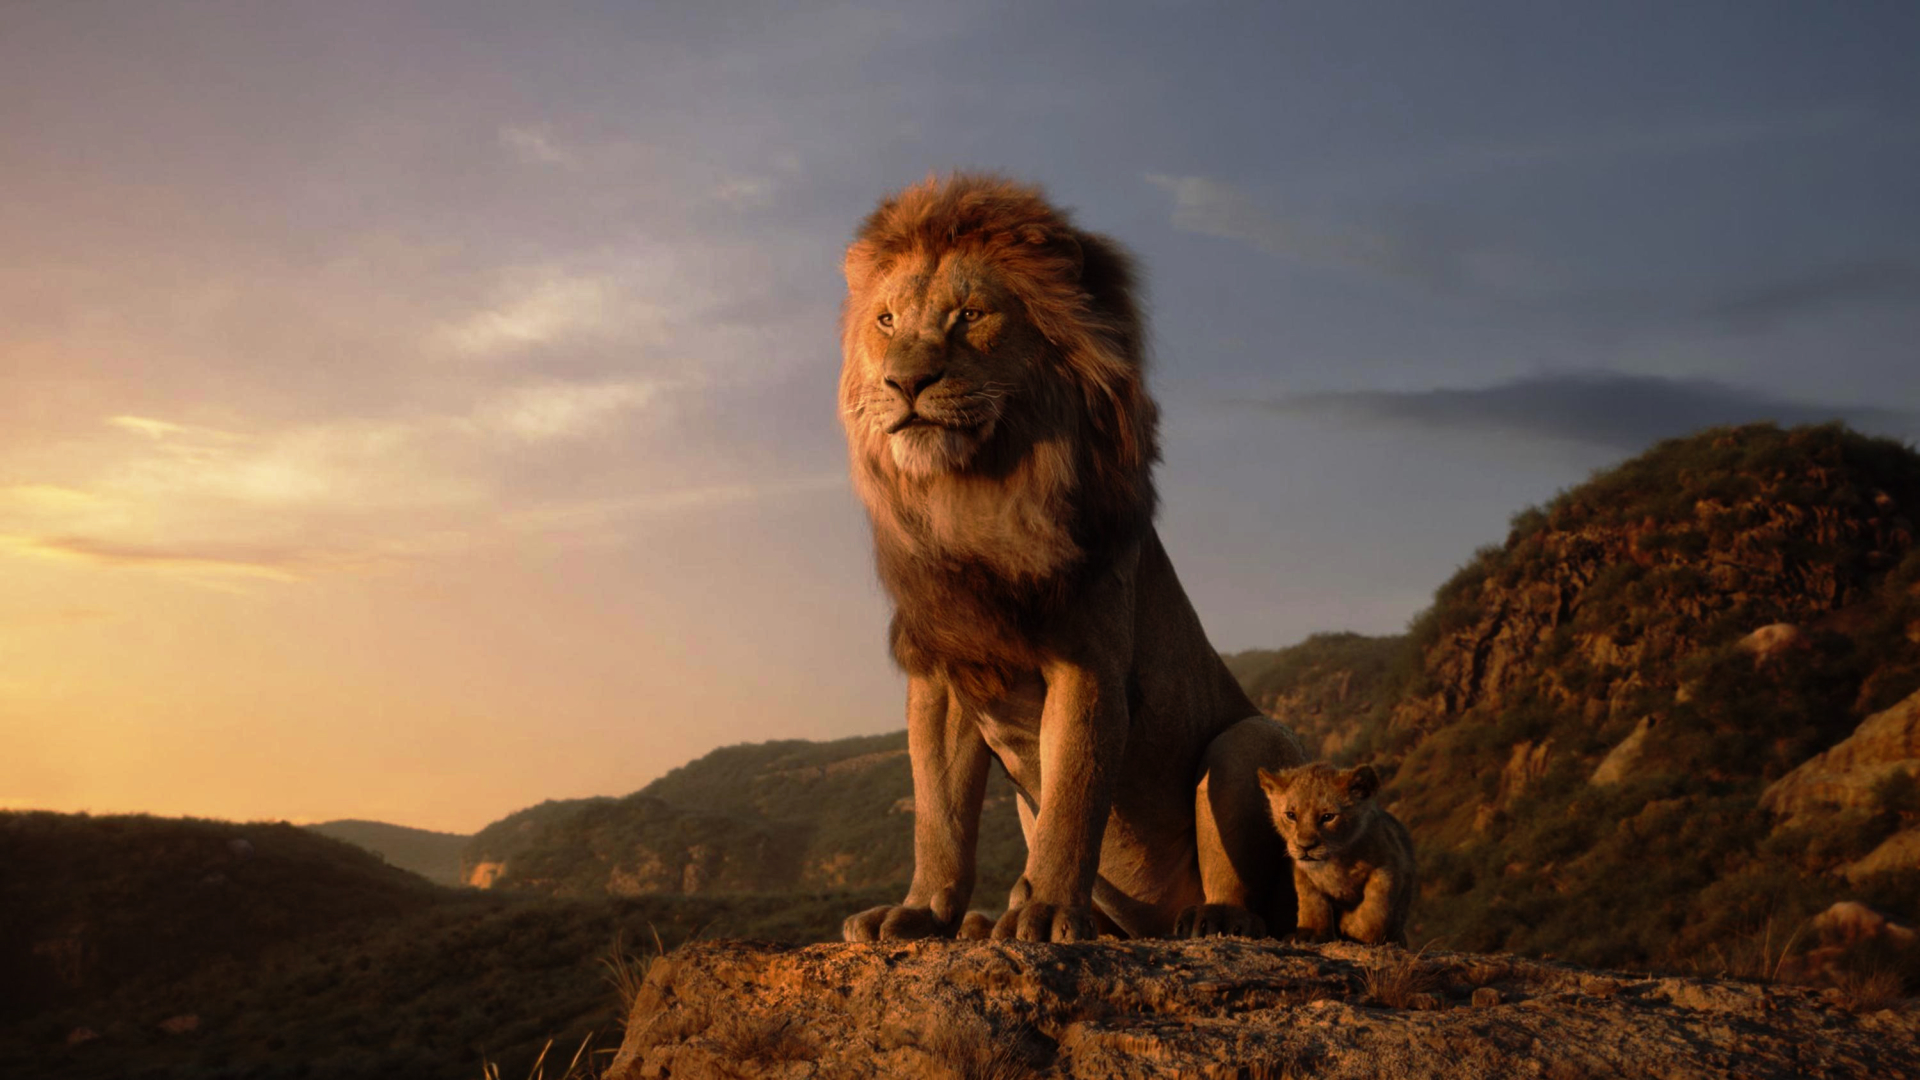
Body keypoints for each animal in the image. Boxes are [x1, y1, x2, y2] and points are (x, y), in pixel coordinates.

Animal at [836, 173, 1307, 943]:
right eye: (885, 321)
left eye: (970, 315)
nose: (904, 383)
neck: (972, 498)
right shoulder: (943, 671)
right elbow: (939, 816)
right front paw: (921, 912)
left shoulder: (1088, 663)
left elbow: (1073, 799)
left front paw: (1049, 911)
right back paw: (987, 922)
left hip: (1250, 740)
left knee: (1253, 896)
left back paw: (1209, 919)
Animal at [1258, 762, 1415, 947]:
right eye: (1291, 815)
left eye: (1328, 817)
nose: (1305, 847)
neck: (1336, 861)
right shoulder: (1303, 873)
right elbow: (1312, 902)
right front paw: (1310, 934)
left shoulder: (1389, 866)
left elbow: (1375, 906)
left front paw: (1355, 929)